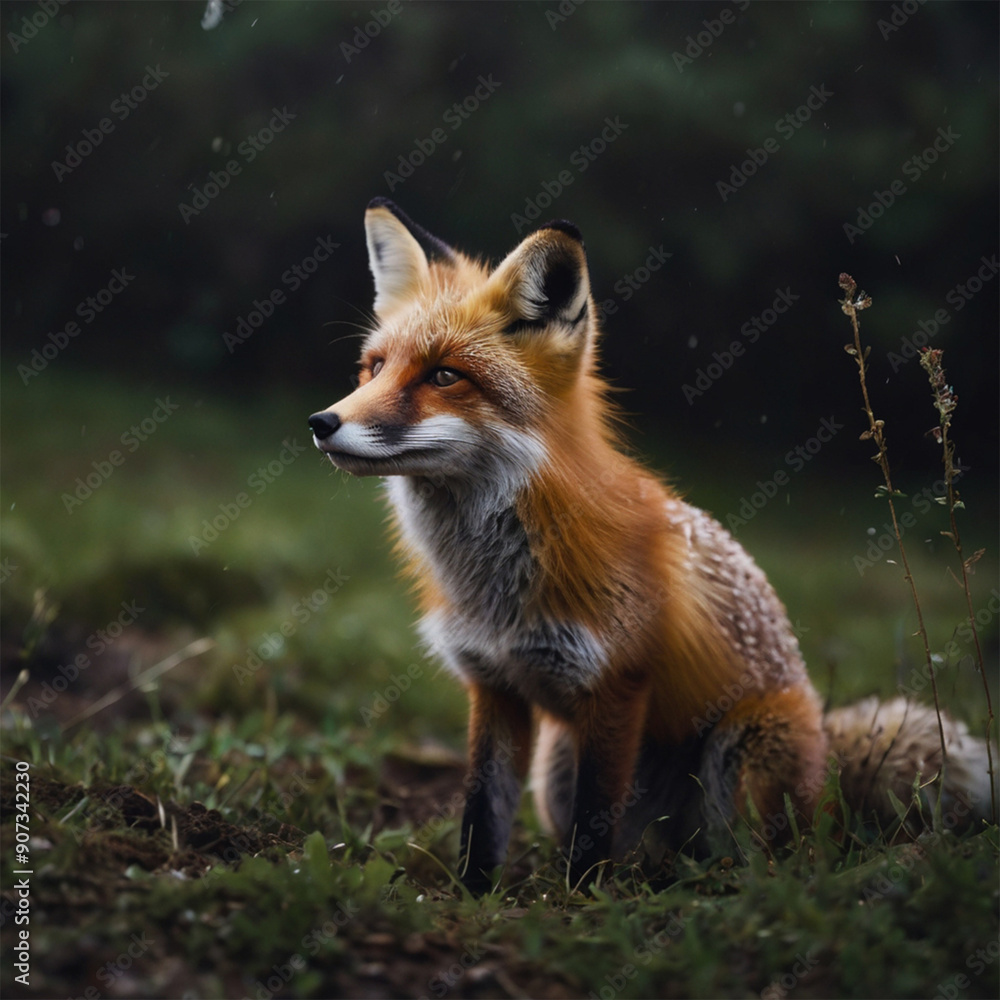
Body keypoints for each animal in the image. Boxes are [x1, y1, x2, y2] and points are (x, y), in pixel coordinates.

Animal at [309, 198, 996, 892]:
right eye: (374, 368)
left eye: (445, 376)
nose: (322, 422)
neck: (498, 586)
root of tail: (828, 782)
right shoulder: (495, 685)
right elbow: (482, 812)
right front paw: (473, 894)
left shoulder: (616, 684)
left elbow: (592, 826)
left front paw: (579, 899)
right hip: (557, 767)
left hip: (741, 751)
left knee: (772, 861)